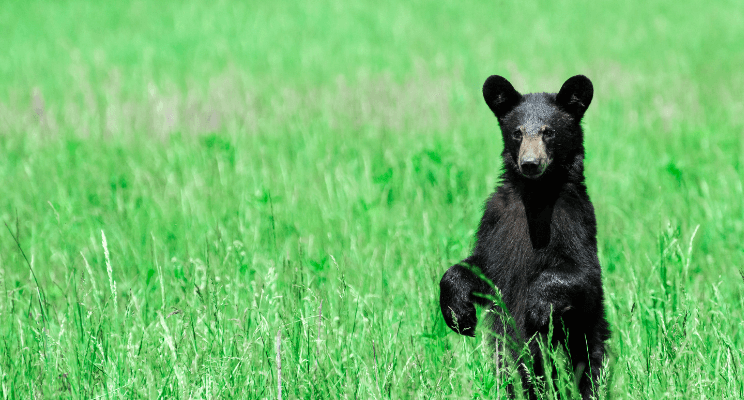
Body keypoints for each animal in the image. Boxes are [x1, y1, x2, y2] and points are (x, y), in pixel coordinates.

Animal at [438, 74, 608, 396]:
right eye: (517, 132)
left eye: (548, 132)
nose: (530, 163)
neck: (535, 196)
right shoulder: (496, 221)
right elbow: (480, 267)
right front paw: (459, 313)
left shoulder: (575, 220)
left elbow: (585, 276)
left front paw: (539, 306)